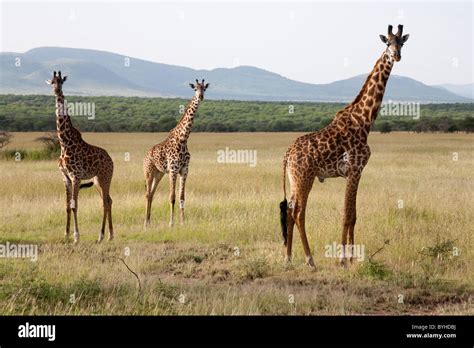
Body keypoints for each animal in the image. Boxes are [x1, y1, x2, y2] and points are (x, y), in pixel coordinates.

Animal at [45, 70, 115, 245]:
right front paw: (66, 234)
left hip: (105, 177)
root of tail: (110, 159)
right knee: (108, 200)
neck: (64, 143)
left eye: (61, 81)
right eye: (52, 82)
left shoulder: (75, 176)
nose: (57, 91)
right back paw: (110, 235)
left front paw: (76, 237)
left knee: (105, 202)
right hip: (97, 180)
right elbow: (66, 206)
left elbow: (74, 205)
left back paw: (101, 236)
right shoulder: (65, 177)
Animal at [141, 79, 207, 227]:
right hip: (148, 172)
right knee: (147, 194)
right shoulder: (173, 169)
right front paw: (171, 223)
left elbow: (182, 197)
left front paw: (183, 222)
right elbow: (172, 197)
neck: (183, 139)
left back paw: (149, 221)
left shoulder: (184, 170)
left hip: (159, 173)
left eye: (204, 88)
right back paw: (145, 223)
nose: (201, 97)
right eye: (195, 89)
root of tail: (145, 155)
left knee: (152, 193)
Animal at [280, 25, 410, 268]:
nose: (396, 56)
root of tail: (287, 154)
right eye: (387, 43)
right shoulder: (354, 170)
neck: (365, 120)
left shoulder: (356, 172)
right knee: (299, 213)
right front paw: (343, 259)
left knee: (291, 211)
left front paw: (352, 257)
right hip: (305, 177)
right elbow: (347, 214)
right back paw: (310, 260)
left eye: (402, 43)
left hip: (294, 179)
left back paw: (288, 258)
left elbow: (354, 215)